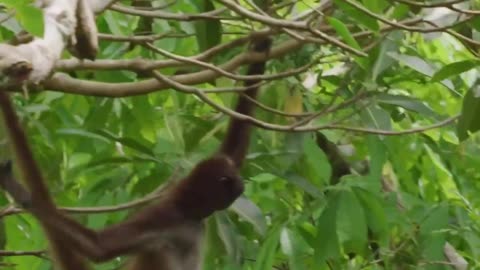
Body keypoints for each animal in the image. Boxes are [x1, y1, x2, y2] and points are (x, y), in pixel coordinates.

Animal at [0, 37, 270, 268]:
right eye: (232, 180)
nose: (241, 184)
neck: (189, 211)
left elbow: (233, 149)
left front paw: (260, 49)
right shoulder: (162, 216)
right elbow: (99, 247)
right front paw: (21, 193)